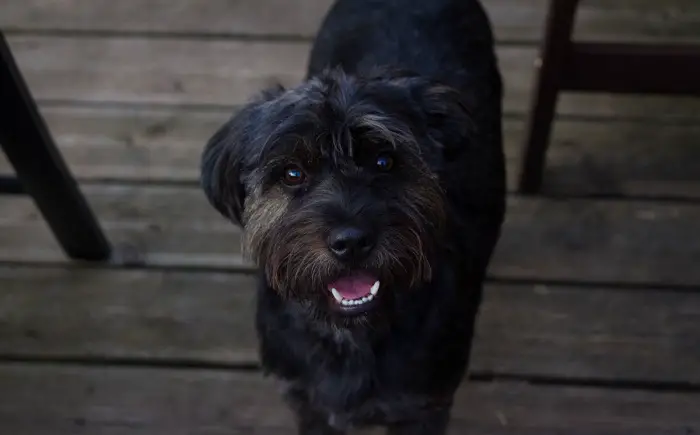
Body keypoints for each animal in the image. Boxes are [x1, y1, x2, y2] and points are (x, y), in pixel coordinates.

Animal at [201, 0, 504, 432]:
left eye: (384, 161)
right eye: (292, 173)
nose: (351, 242)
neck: (349, 336)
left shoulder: (425, 408)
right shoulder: (306, 402)